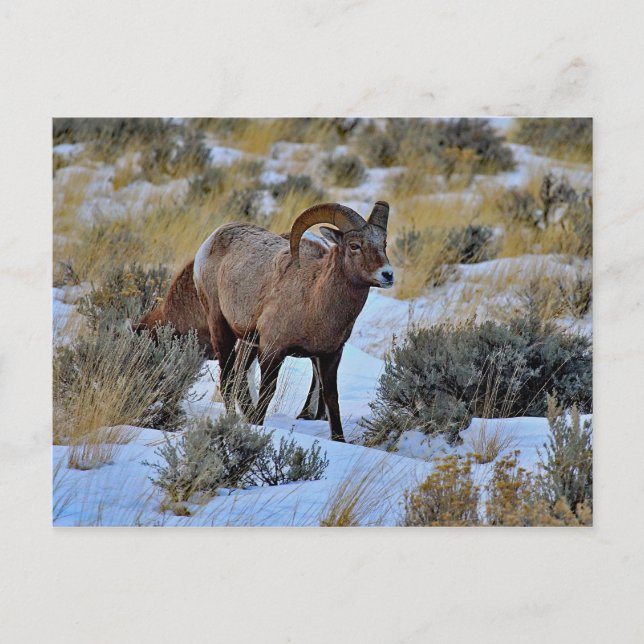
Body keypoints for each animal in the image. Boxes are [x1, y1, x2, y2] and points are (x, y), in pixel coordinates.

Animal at [193, 201, 393, 442]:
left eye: (383, 243)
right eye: (355, 245)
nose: (387, 275)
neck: (314, 300)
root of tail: (213, 238)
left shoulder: (331, 356)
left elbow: (332, 399)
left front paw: (340, 440)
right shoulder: (272, 351)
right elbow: (267, 394)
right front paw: (257, 426)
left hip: (248, 342)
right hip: (221, 328)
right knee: (228, 381)